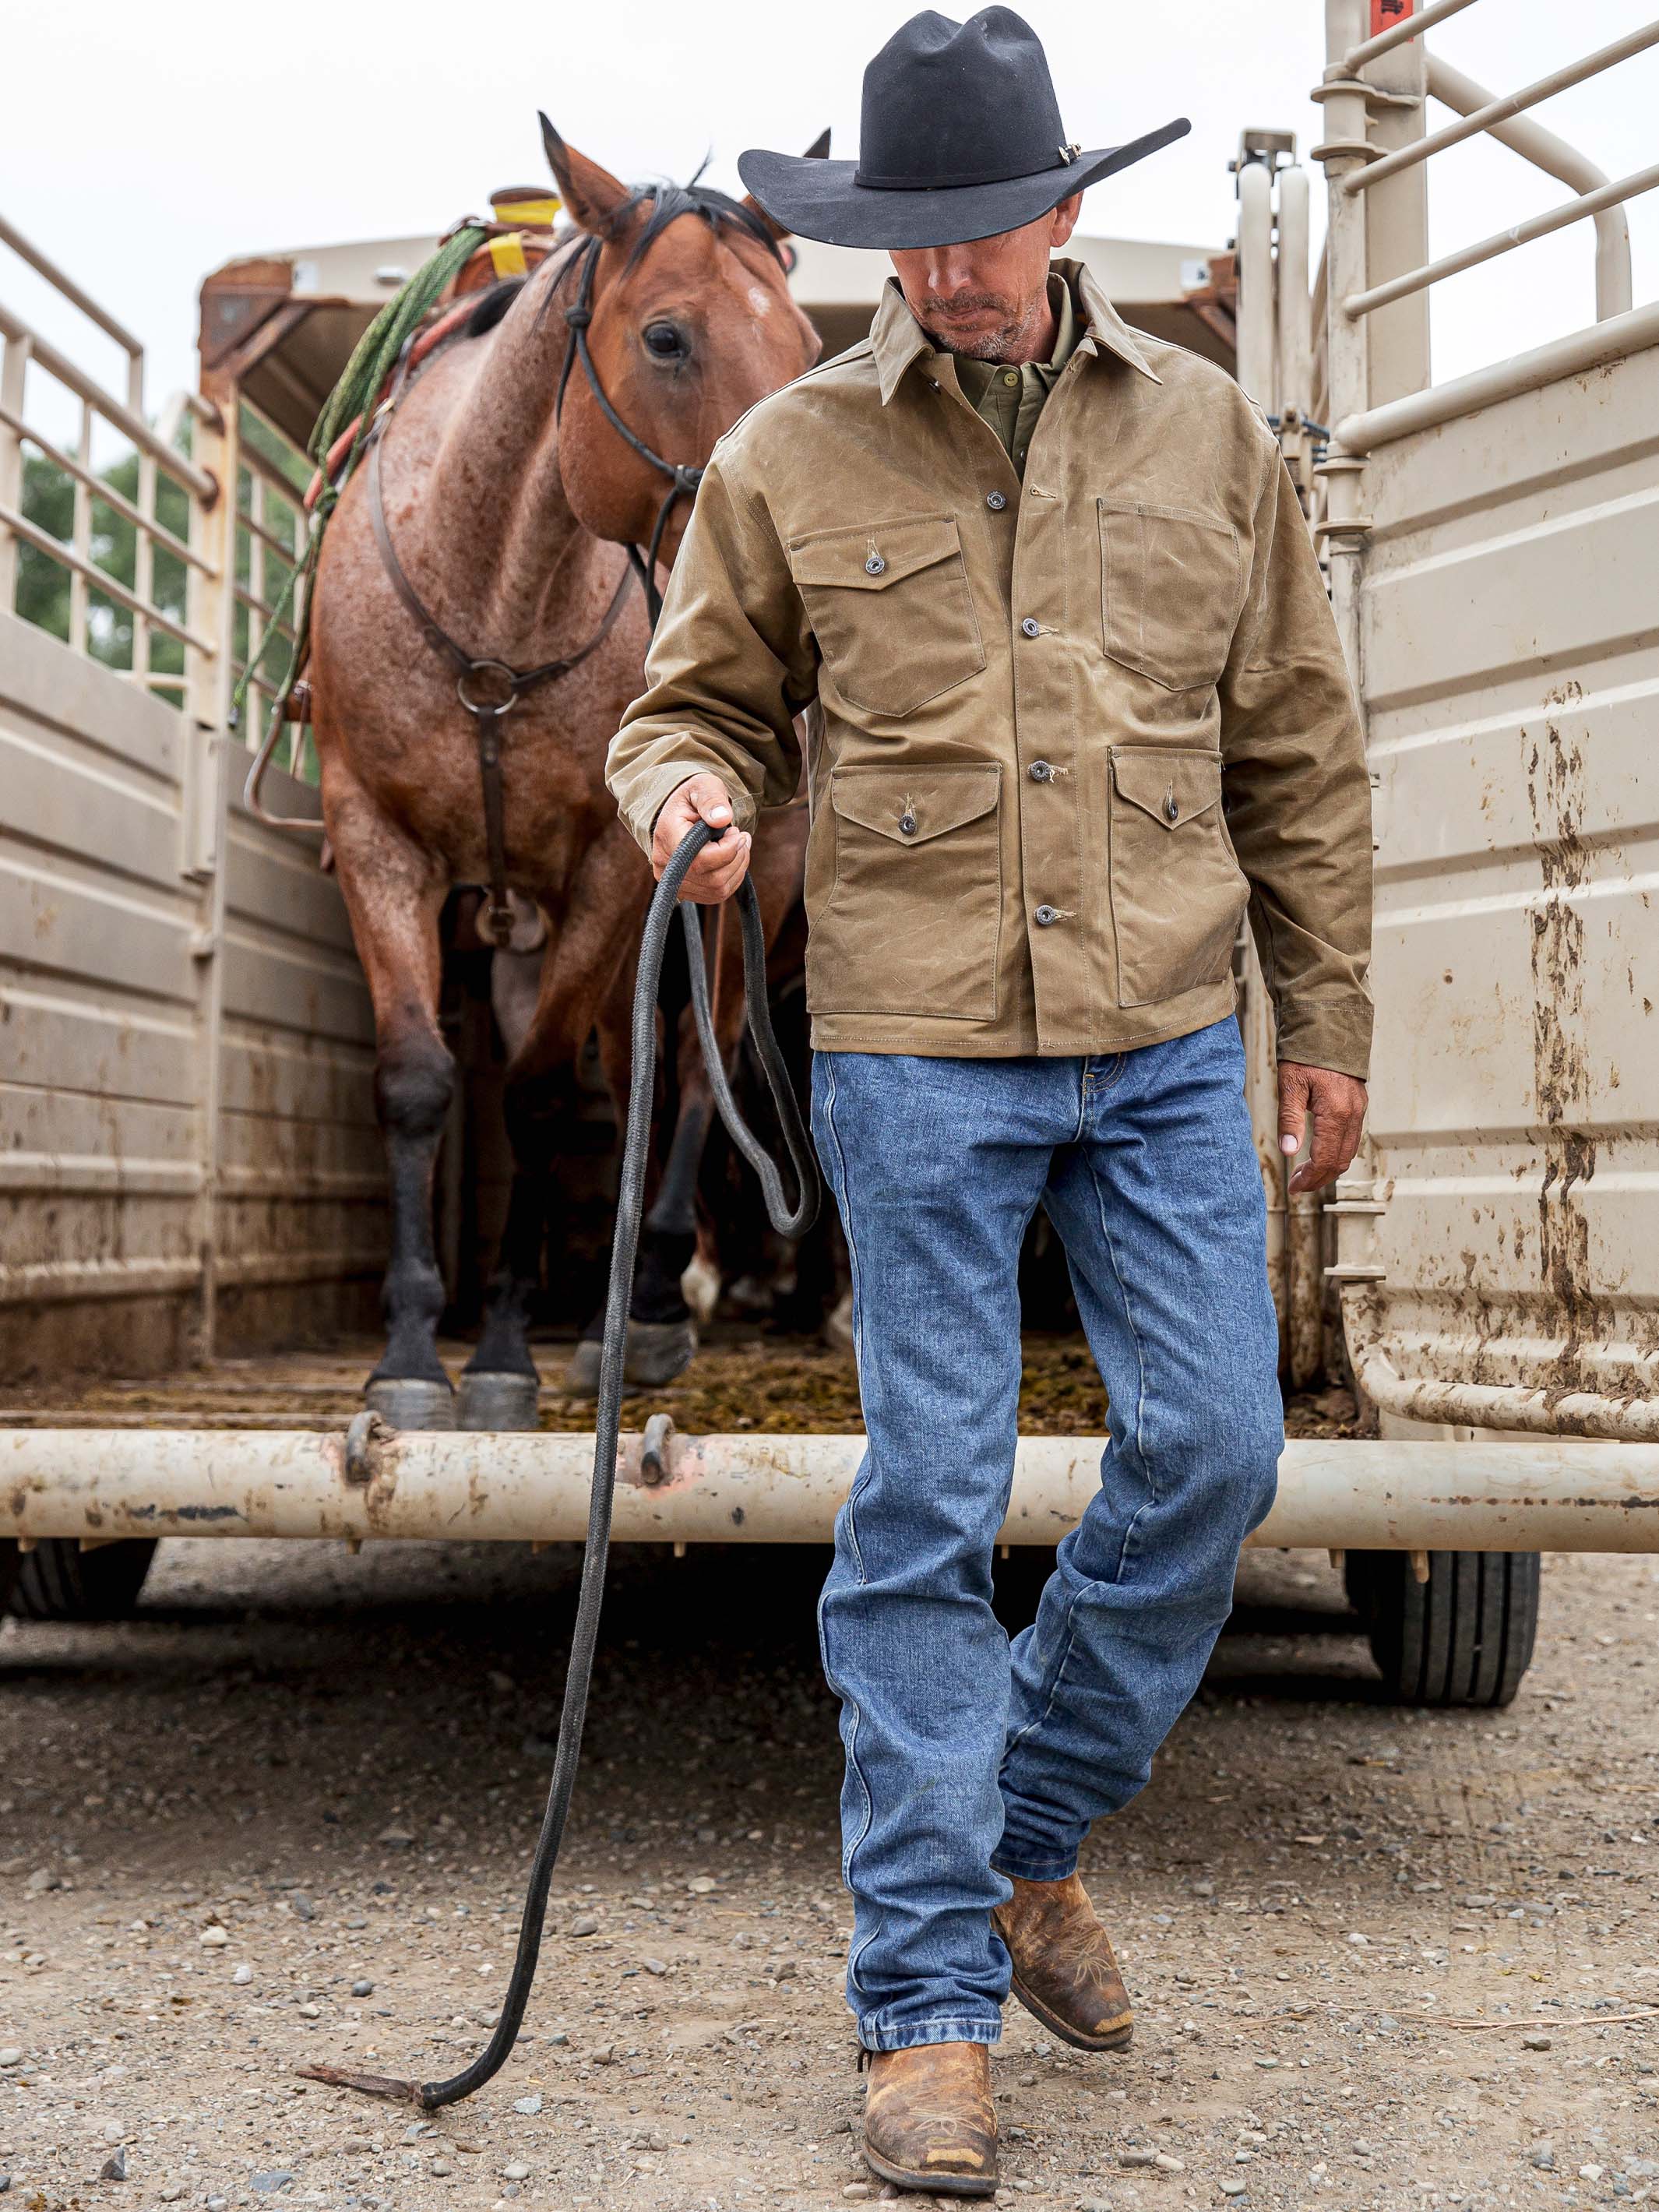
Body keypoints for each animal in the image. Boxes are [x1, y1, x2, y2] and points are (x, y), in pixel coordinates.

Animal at [307, 125, 827, 1433]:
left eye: (807, 346)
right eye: (668, 337)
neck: (492, 598)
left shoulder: (612, 869)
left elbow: (542, 1096)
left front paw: (500, 1354)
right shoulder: (377, 841)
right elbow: (418, 1081)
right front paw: (408, 1355)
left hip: (751, 879)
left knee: (700, 1067)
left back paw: (656, 1302)